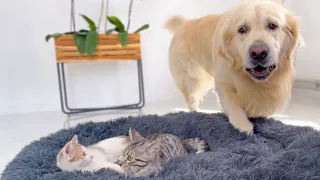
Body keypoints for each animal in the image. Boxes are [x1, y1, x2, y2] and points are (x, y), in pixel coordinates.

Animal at [166, 0, 304, 134]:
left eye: (272, 25)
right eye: (242, 29)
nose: (258, 53)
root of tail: (183, 24)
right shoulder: (223, 81)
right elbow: (233, 105)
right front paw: (244, 127)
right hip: (194, 80)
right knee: (192, 99)